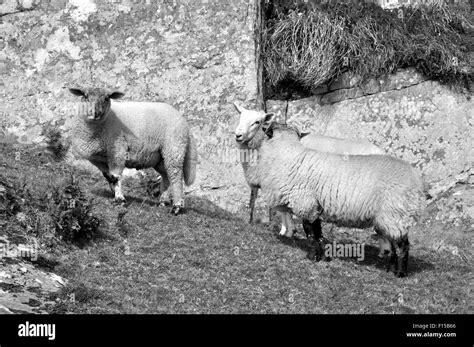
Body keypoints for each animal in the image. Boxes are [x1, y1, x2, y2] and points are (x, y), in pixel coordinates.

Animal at [67, 87, 197, 215]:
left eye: (106, 98)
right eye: (85, 96)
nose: (95, 113)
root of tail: (185, 124)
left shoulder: (117, 150)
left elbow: (115, 176)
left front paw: (120, 199)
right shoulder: (97, 159)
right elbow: (108, 176)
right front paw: (114, 192)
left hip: (174, 148)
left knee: (176, 177)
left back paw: (176, 207)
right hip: (160, 157)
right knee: (166, 175)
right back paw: (163, 202)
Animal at [232, 102, 386, 245]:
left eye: (256, 122)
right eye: (240, 117)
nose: (238, 135)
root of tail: (382, 151)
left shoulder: (285, 183)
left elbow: (285, 210)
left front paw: (288, 232)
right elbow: (284, 209)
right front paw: (288, 231)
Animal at [256, 121, 426, 278]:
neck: (288, 154)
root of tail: (416, 180)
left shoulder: (305, 202)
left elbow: (310, 231)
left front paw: (313, 256)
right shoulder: (315, 206)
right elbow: (318, 232)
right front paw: (323, 256)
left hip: (395, 212)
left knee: (402, 245)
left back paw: (400, 273)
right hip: (388, 216)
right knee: (392, 241)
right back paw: (389, 269)